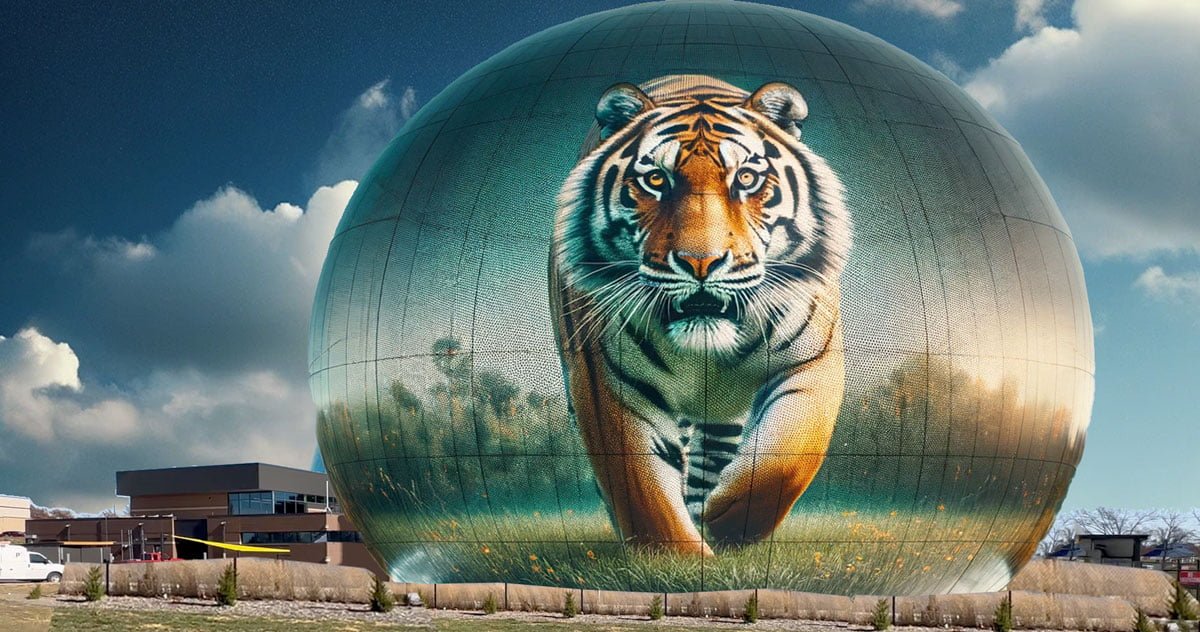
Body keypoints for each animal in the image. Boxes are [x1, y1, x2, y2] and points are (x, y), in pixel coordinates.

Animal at [550, 74, 852, 556]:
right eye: (656, 179)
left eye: (746, 178)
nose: (701, 262)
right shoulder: (608, 383)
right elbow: (645, 495)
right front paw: (677, 559)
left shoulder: (814, 361)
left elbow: (789, 455)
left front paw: (725, 521)